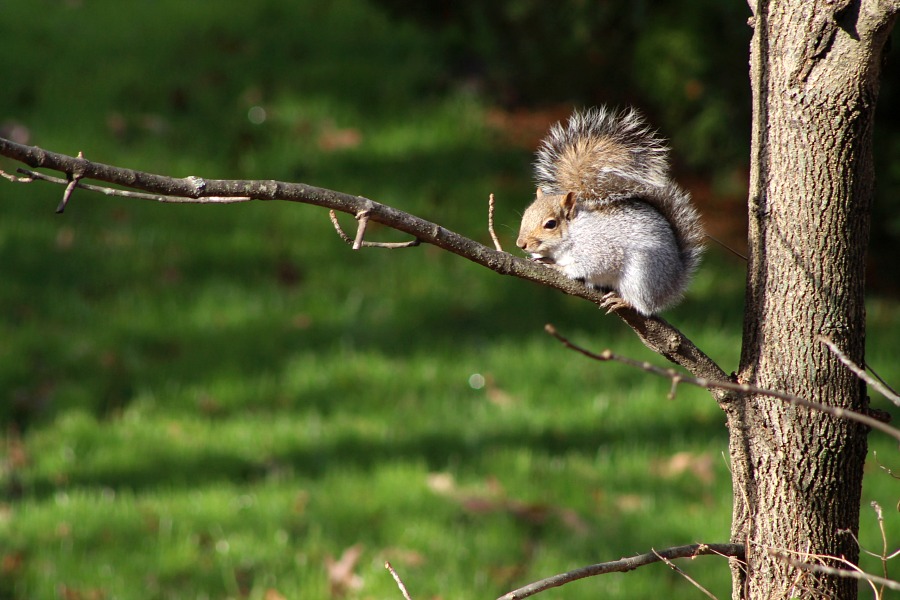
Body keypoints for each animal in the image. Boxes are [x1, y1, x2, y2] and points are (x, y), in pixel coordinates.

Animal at [512, 107, 704, 316]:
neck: (574, 231)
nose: (521, 244)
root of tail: (673, 284)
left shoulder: (599, 249)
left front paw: (559, 268)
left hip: (642, 275)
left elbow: (587, 266)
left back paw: (623, 301)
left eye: (550, 224)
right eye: (525, 215)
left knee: (643, 304)